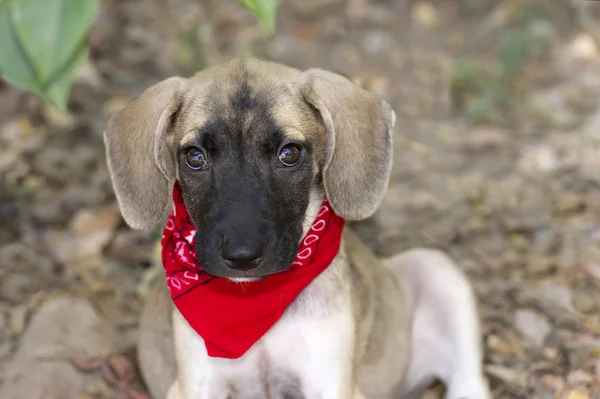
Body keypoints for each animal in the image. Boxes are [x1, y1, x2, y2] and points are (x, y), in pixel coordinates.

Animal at [104, 57, 492, 399]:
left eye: (289, 154)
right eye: (194, 157)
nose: (241, 257)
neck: (255, 305)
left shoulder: (330, 382)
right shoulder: (197, 384)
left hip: (436, 269)